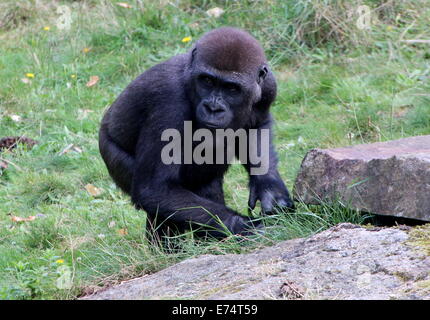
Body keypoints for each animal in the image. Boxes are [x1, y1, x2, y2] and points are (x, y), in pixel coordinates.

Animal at [99, 27, 294, 241]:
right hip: (110, 153)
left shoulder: (268, 85)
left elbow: (256, 127)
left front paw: (269, 189)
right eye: (207, 80)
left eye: (232, 88)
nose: (213, 108)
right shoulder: (169, 101)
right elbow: (155, 189)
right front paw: (246, 227)